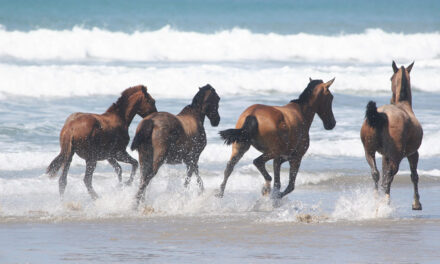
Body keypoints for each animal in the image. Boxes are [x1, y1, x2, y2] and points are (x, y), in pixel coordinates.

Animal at [360, 61, 422, 210]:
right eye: (391, 78)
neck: (404, 105)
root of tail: (380, 115)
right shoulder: (413, 153)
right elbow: (414, 176)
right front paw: (416, 203)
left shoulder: (384, 155)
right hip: (396, 156)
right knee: (388, 177)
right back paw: (385, 203)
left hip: (369, 152)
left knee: (376, 174)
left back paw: (376, 200)